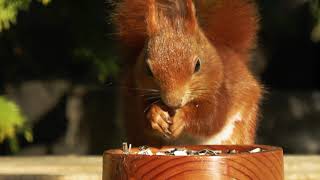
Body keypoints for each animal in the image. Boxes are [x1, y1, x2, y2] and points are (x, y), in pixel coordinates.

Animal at [114, 0, 262, 145]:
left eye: (197, 65)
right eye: (148, 69)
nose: (174, 102)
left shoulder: (221, 93)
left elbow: (211, 118)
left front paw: (182, 118)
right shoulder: (138, 95)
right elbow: (143, 116)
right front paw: (156, 116)